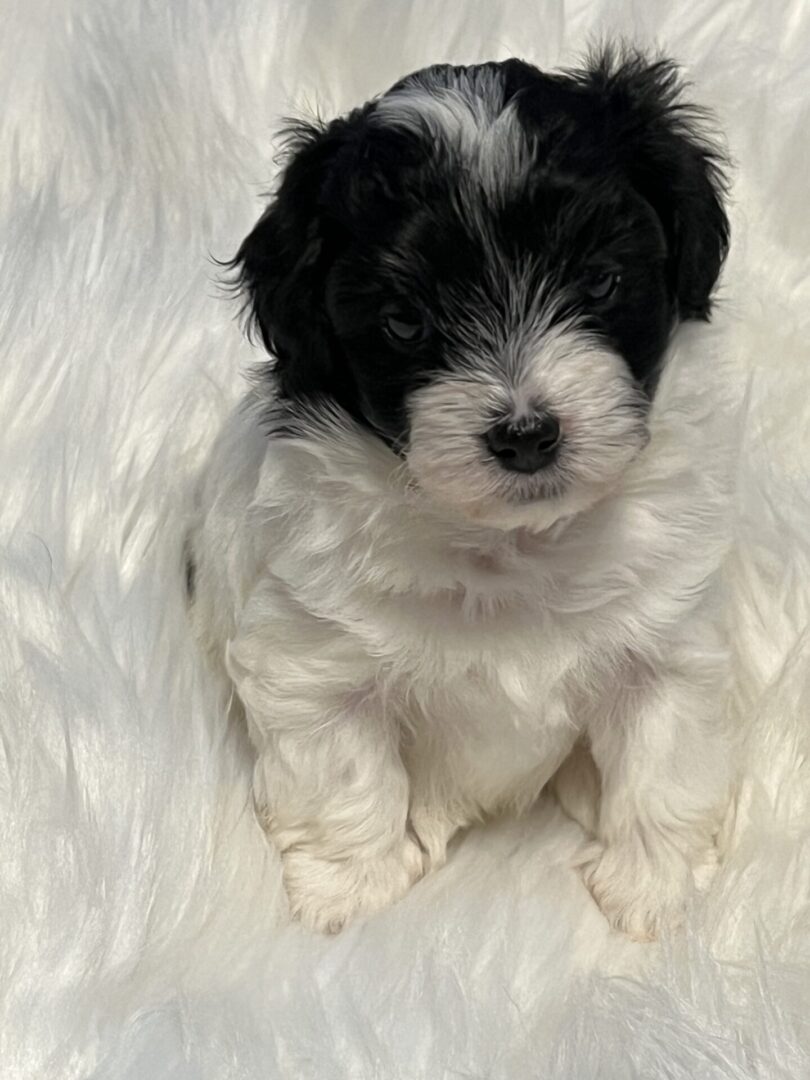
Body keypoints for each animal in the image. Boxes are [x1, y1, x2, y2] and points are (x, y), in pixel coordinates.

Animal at [190, 48, 734, 937]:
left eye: (600, 282)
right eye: (406, 323)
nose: (526, 435)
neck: (509, 546)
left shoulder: (668, 648)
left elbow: (667, 766)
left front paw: (654, 891)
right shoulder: (310, 662)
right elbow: (344, 778)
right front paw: (350, 891)